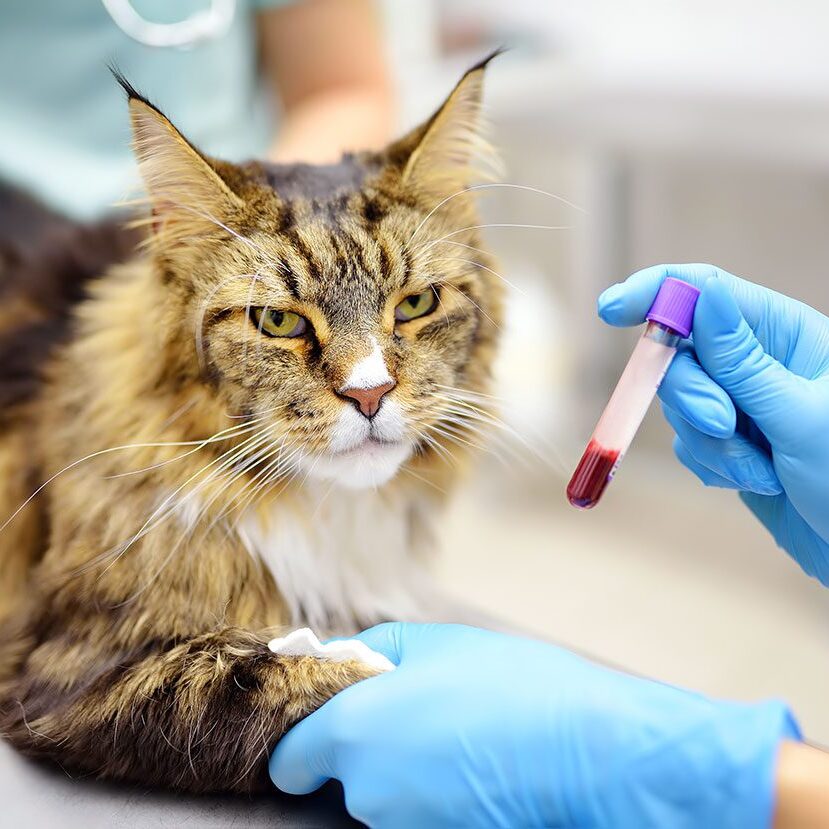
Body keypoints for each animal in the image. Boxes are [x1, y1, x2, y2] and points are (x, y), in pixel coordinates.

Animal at [0, 55, 504, 792]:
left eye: (414, 305)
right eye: (278, 321)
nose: (371, 392)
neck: (318, 509)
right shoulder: (71, 674)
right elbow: (272, 675)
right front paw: (384, 674)